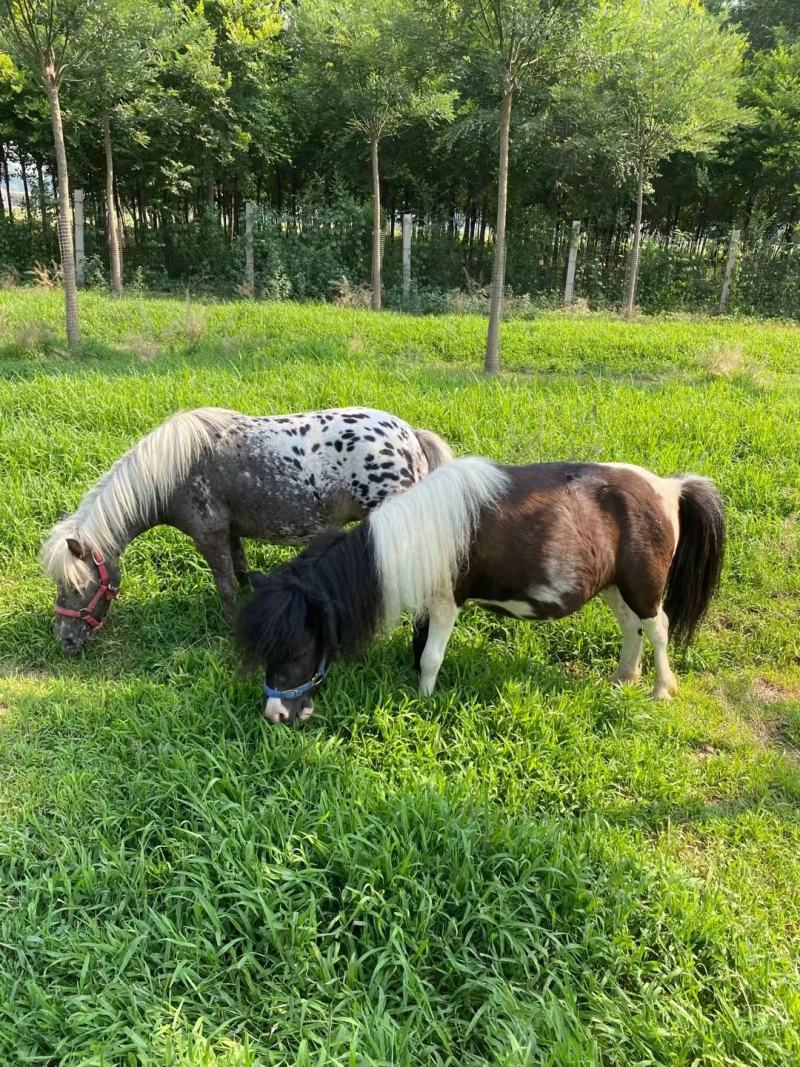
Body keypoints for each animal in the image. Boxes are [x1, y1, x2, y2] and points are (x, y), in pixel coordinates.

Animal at [41, 407, 452, 654]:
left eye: (76, 587)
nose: (66, 641)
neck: (174, 471)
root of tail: (411, 435)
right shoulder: (231, 534)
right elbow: (240, 574)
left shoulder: (210, 537)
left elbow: (225, 586)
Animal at [236, 457, 725, 724]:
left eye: (299, 649)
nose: (275, 714)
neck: (412, 536)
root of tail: (671, 487)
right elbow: (420, 649)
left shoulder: (446, 603)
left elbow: (431, 657)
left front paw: (425, 701)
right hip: (613, 587)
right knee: (630, 627)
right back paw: (624, 677)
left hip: (643, 586)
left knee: (658, 627)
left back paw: (660, 689)